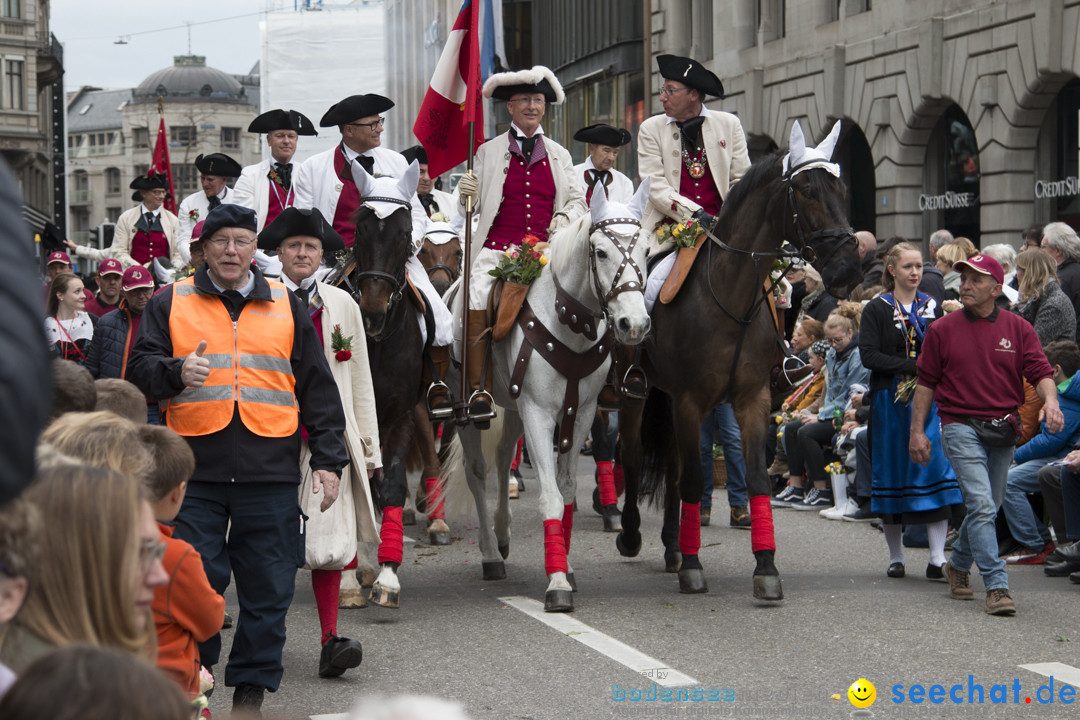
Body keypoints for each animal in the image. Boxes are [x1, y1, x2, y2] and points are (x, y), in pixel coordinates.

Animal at [453, 177, 652, 613]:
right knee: (478, 473)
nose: (633, 324)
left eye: (647, 250)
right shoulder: (540, 414)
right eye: (600, 251)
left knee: (502, 457)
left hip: (512, 410)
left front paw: (566, 567)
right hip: (472, 416)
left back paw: (503, 535)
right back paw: (490, 553)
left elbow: (568, 492)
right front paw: (557, 583)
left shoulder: (580, 414)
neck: (569, 324)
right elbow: (551, 498)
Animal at [622, 120, 864, 600]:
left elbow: (752, 477)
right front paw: (694, 567)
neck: (729, 296)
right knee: (634, 455)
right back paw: (632, 534)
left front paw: (765, 567)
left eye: (843, 188)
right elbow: (693, 479)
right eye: (807, 189)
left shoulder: (750, 399)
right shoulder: (690, 401)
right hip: (632, 393)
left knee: (672, 468)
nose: (849, 266)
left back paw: (673, 546)